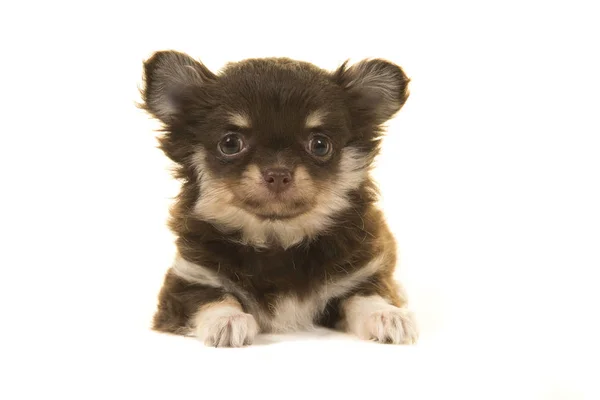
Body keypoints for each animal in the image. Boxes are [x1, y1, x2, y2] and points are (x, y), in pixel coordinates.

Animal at [139, 50, 418, 346]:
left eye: (320, 145)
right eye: (230, 143)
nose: (278, 173)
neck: (278, 239)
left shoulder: (356, 276)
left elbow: (367, 296)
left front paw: (387, 315)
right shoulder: (189, 279)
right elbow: (211, 299)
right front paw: (228, 319)